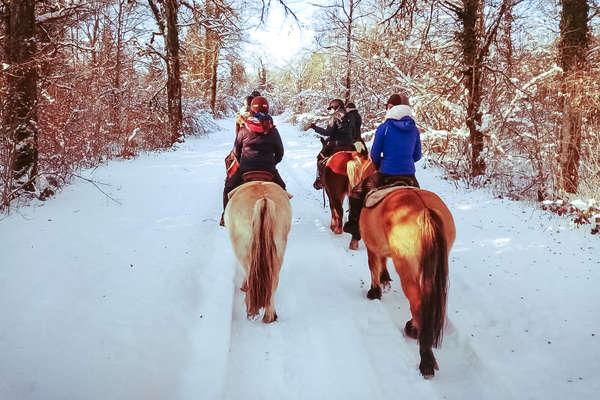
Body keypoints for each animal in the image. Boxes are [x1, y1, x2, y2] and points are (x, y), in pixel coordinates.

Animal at [224, 180, 292, 324]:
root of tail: (264, 199)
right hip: (278, 251)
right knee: (273, 281)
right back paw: (270, 317)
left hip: (244, 250)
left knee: (250, 272)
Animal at [346, 160, 454, 378]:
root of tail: (425, 211)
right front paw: (385, 279)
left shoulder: (372, 247)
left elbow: (373, 266)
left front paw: (375, 291)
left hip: (407, 268)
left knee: (417, 303)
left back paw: (423, 353)